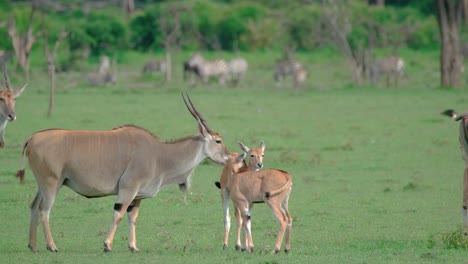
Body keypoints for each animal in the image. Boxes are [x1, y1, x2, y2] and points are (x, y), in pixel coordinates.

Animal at [15, 94, 231, 253]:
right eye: (218, 141)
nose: (230, 158)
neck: (159, 154)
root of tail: (32, 138)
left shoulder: (137, 196)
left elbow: (131, 217)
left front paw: (133, 247)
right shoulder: (128, 188)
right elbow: (118, 214)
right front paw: (107, 245)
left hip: (43, 185)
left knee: (33, 207)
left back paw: (33, 246)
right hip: (52, 184)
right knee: (44, 210)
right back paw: (52, 246)